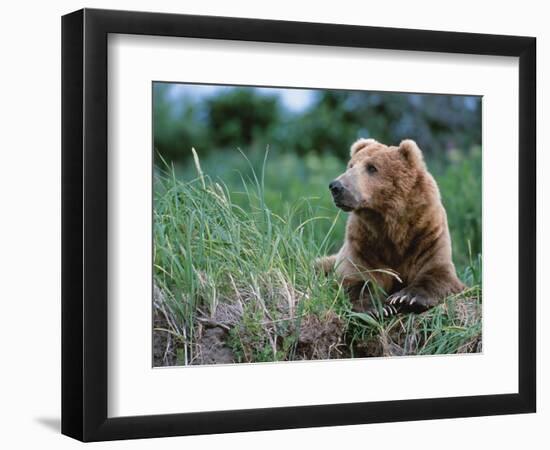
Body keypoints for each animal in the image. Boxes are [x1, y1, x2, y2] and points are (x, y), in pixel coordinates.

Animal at [320, 138, 466, 316]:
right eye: (351, 165)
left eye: (372, 167)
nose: (336, 186)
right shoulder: (363, 242)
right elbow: (356, 278)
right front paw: (380, 307)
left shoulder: (427, 233)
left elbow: (438, 273)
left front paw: (406, 298)